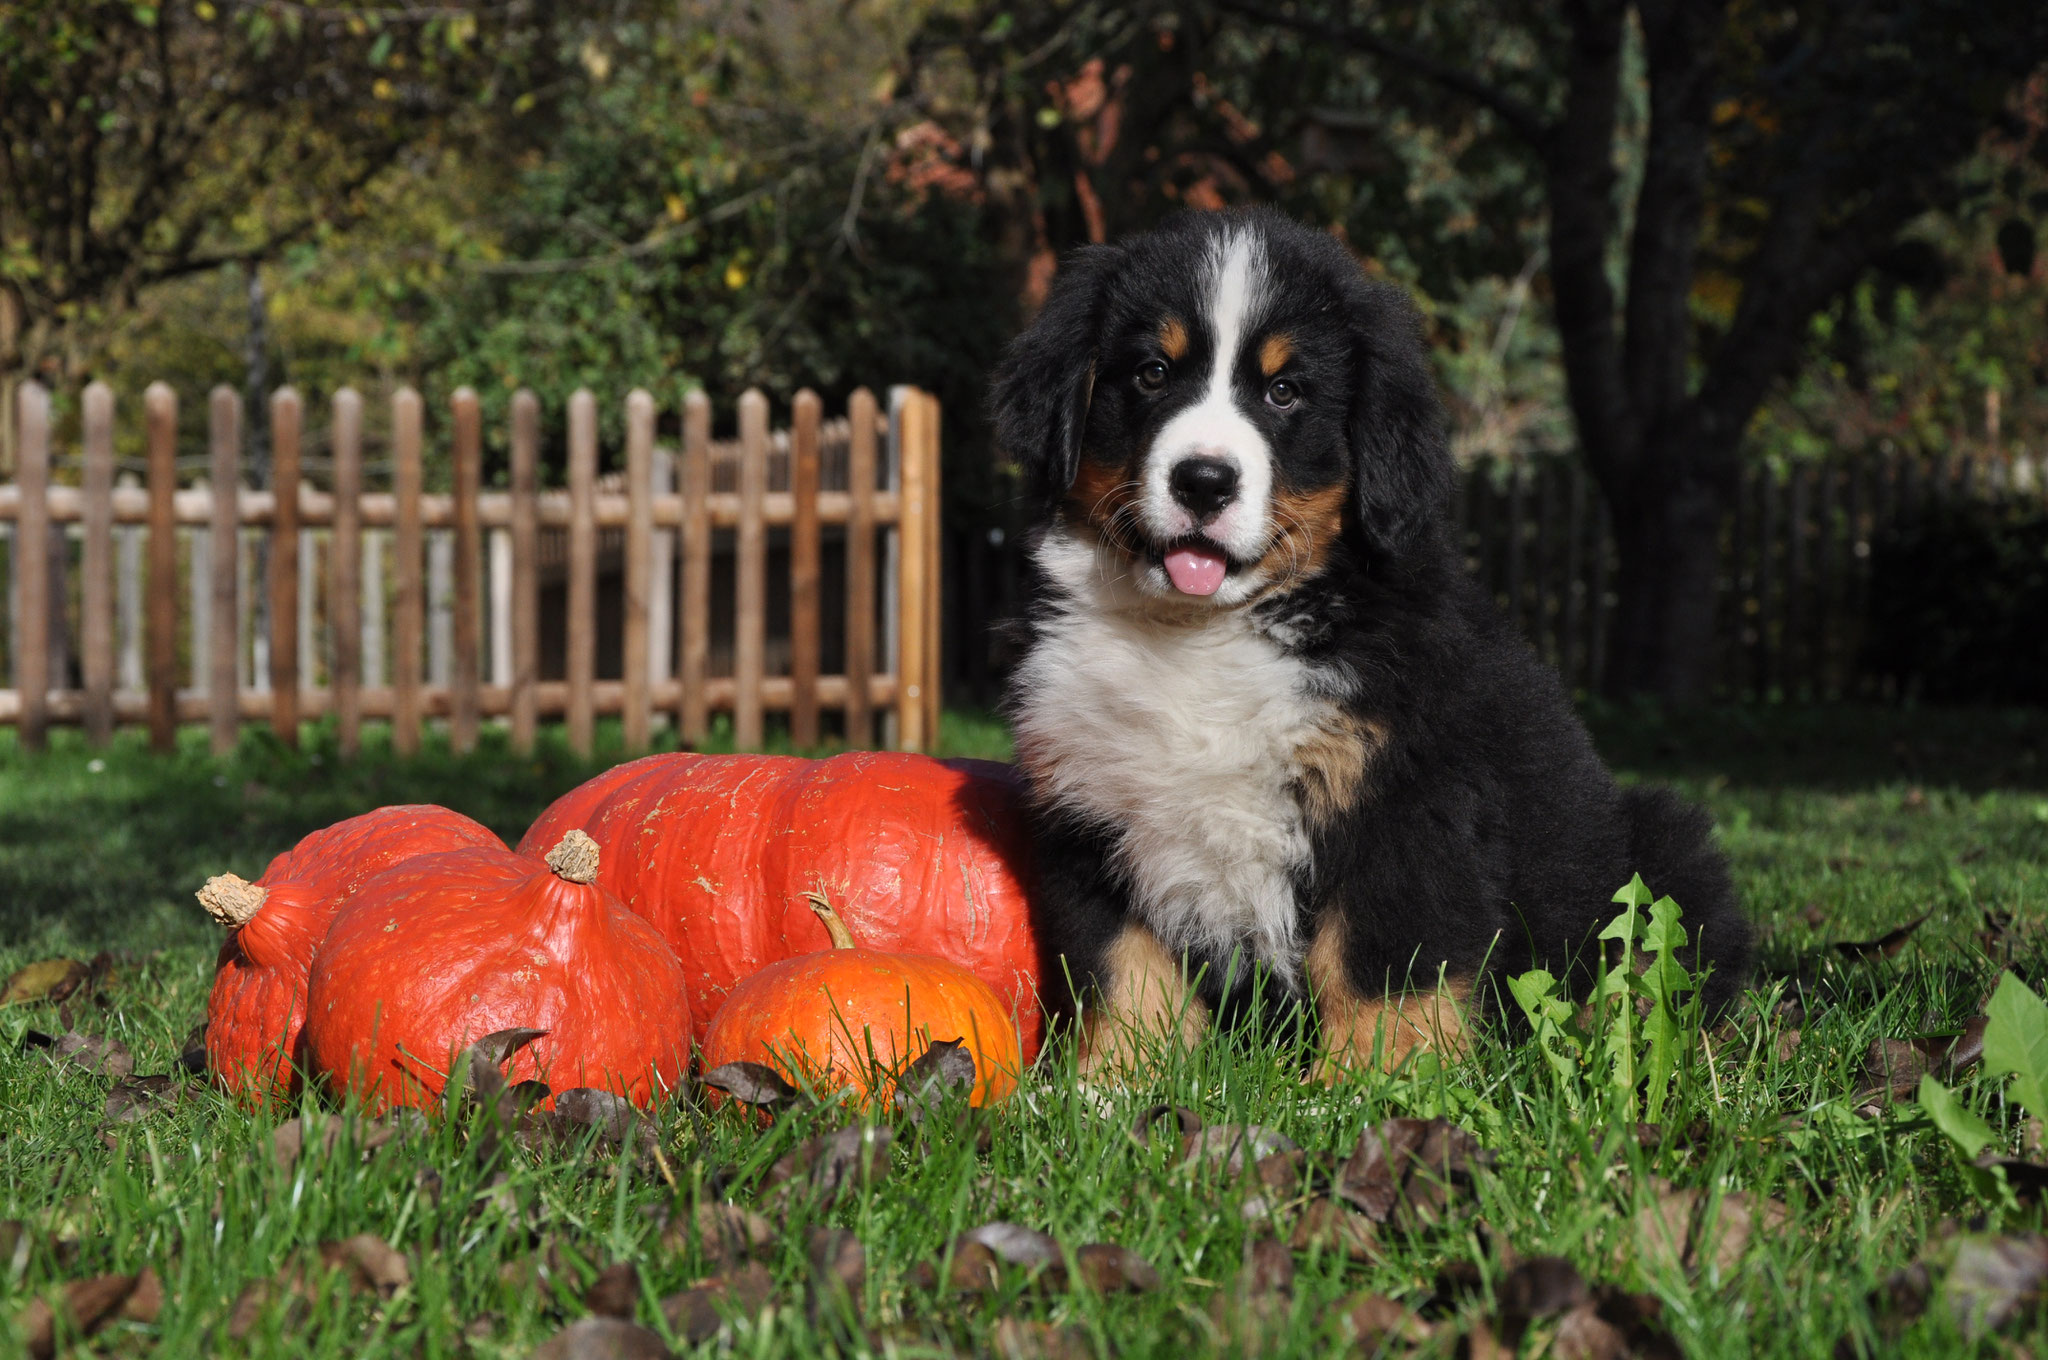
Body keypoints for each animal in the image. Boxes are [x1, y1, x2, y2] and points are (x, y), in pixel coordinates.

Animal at [983, 206, 1753, 1081]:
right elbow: (1122, 966)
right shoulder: (1092, 808)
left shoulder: (1406, 799)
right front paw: (1110, 1083)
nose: (1204, 481)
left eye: (1285, 392)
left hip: (1658, 853)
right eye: (1151, 372)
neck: (1203, 633)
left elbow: (1380, 961)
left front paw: (1373, 1080)